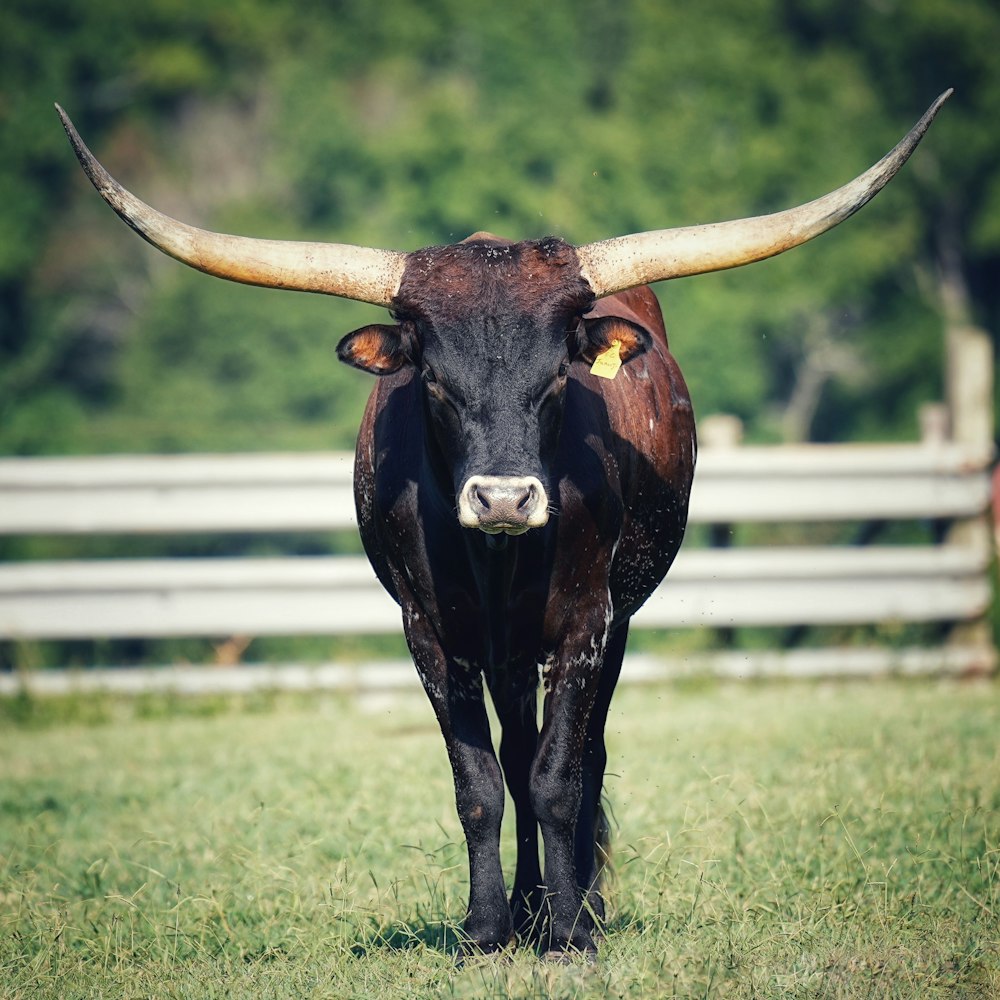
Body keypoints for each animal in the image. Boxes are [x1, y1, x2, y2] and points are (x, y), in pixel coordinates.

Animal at [58, 94, 948, 960]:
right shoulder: (429, 631)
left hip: (607, 623)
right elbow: (481, 785)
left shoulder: (586, 622)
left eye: (556, 377)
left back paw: (574, 906)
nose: (504, 501)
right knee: (516, 758)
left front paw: (571, 933)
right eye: (434, 383)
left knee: (581, 758)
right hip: (507, 649)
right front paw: (487, 930)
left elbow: (559, 778)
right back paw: (525, 910)